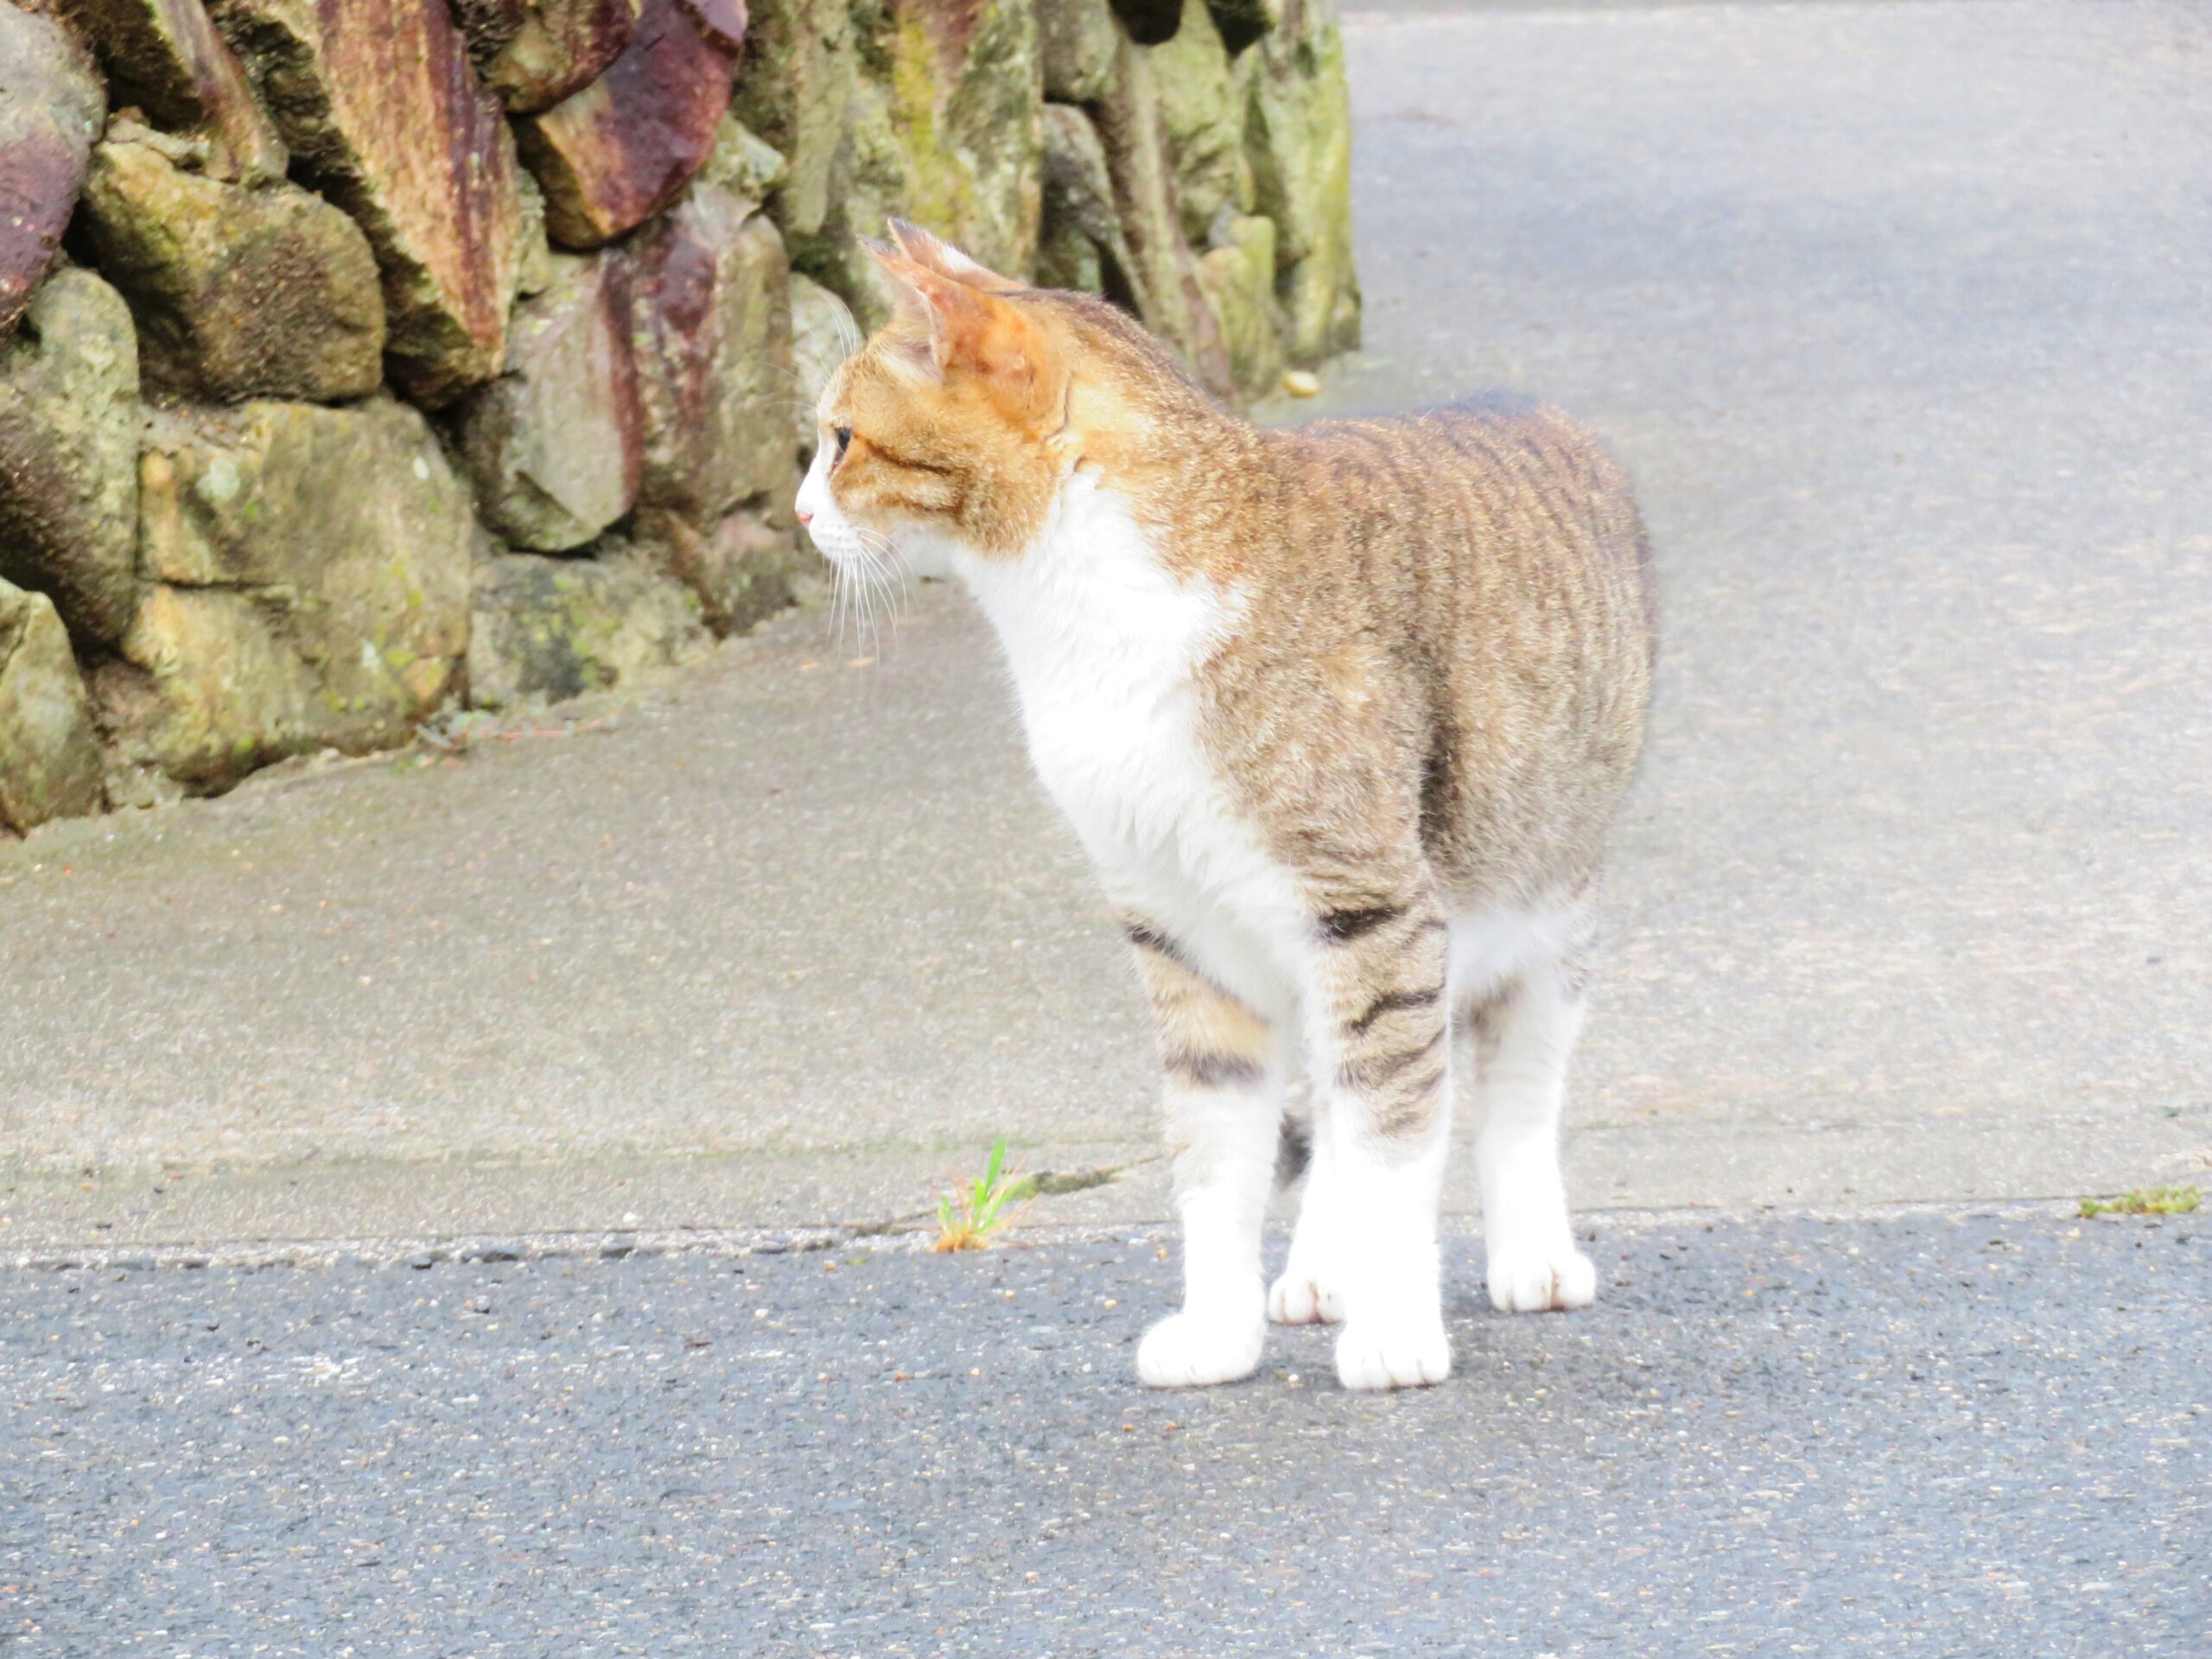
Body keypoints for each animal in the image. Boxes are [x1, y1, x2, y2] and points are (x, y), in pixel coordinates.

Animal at [800, 221, 1663, 1389]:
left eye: (843, 440)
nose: (799, 513)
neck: (1084, 612)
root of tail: (1525, 402)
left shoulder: (1369, 898)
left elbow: (1398, 1138)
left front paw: (1394, 1333)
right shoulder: (1176, 922)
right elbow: (1215, 1150)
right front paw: (1220, 1330)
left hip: (1538, 898)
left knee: (1507, 1091)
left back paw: (1528, 1254)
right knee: (1339, 1090)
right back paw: (1322, 1270)